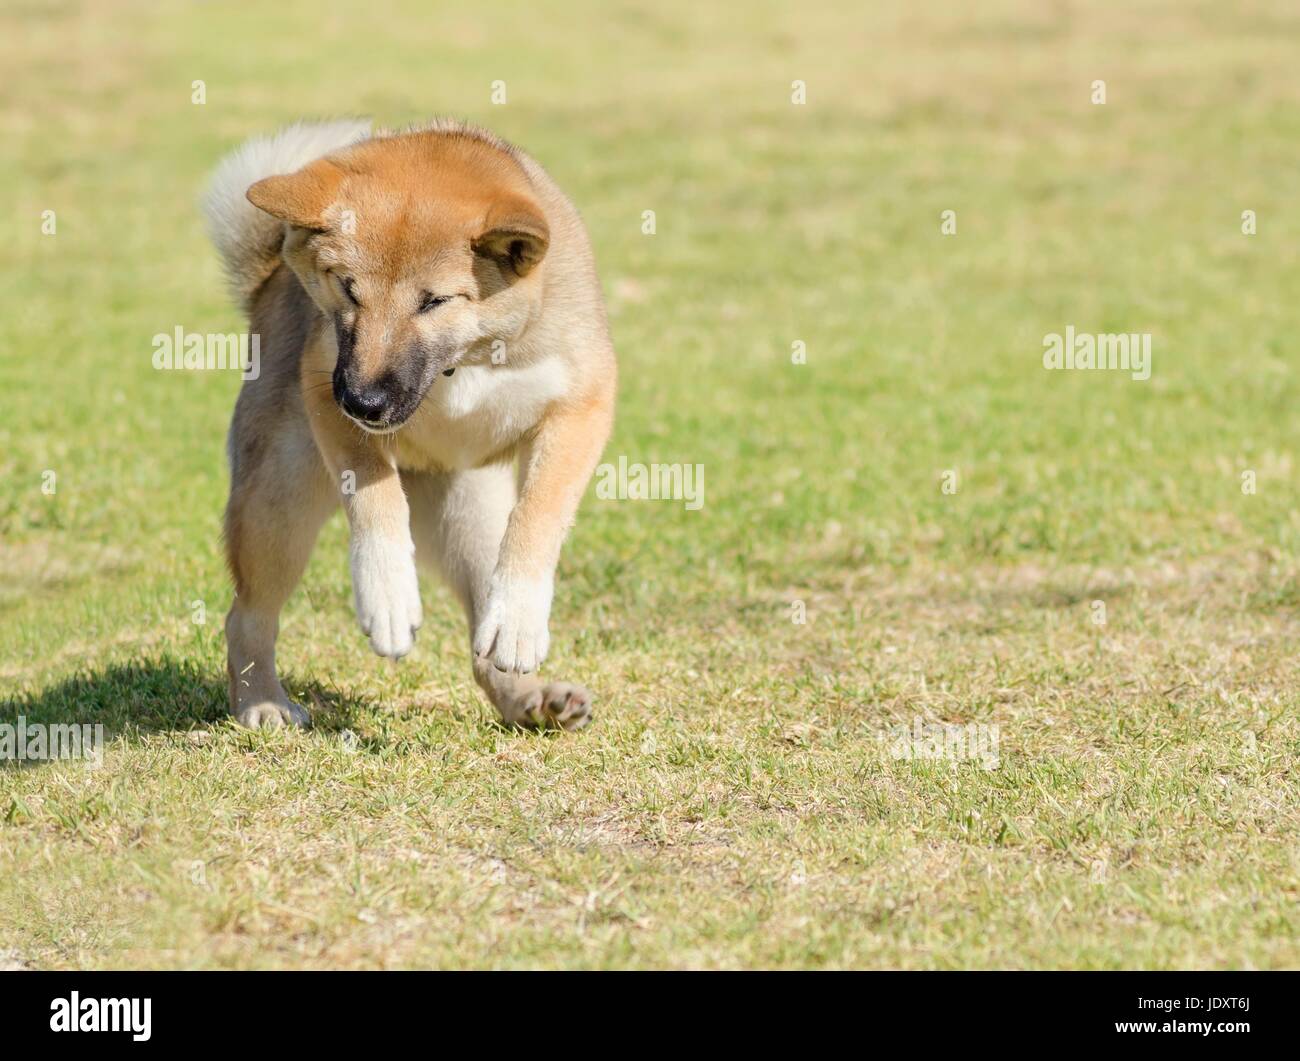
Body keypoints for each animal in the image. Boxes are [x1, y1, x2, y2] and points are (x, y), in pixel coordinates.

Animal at [204, 115, 618, 728]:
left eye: (435, 301)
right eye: (348, 287)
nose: (363, 402)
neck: (463, 363)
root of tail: (268, 281)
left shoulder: (582, 405)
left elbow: (539, 513)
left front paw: (520, 620)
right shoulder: (324, 386)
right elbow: (375, 495)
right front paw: (387, 594)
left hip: (471, 519)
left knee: (482, 643)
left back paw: (531, 700)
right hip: (280, 501)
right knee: (247, 617)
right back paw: (262, 702)